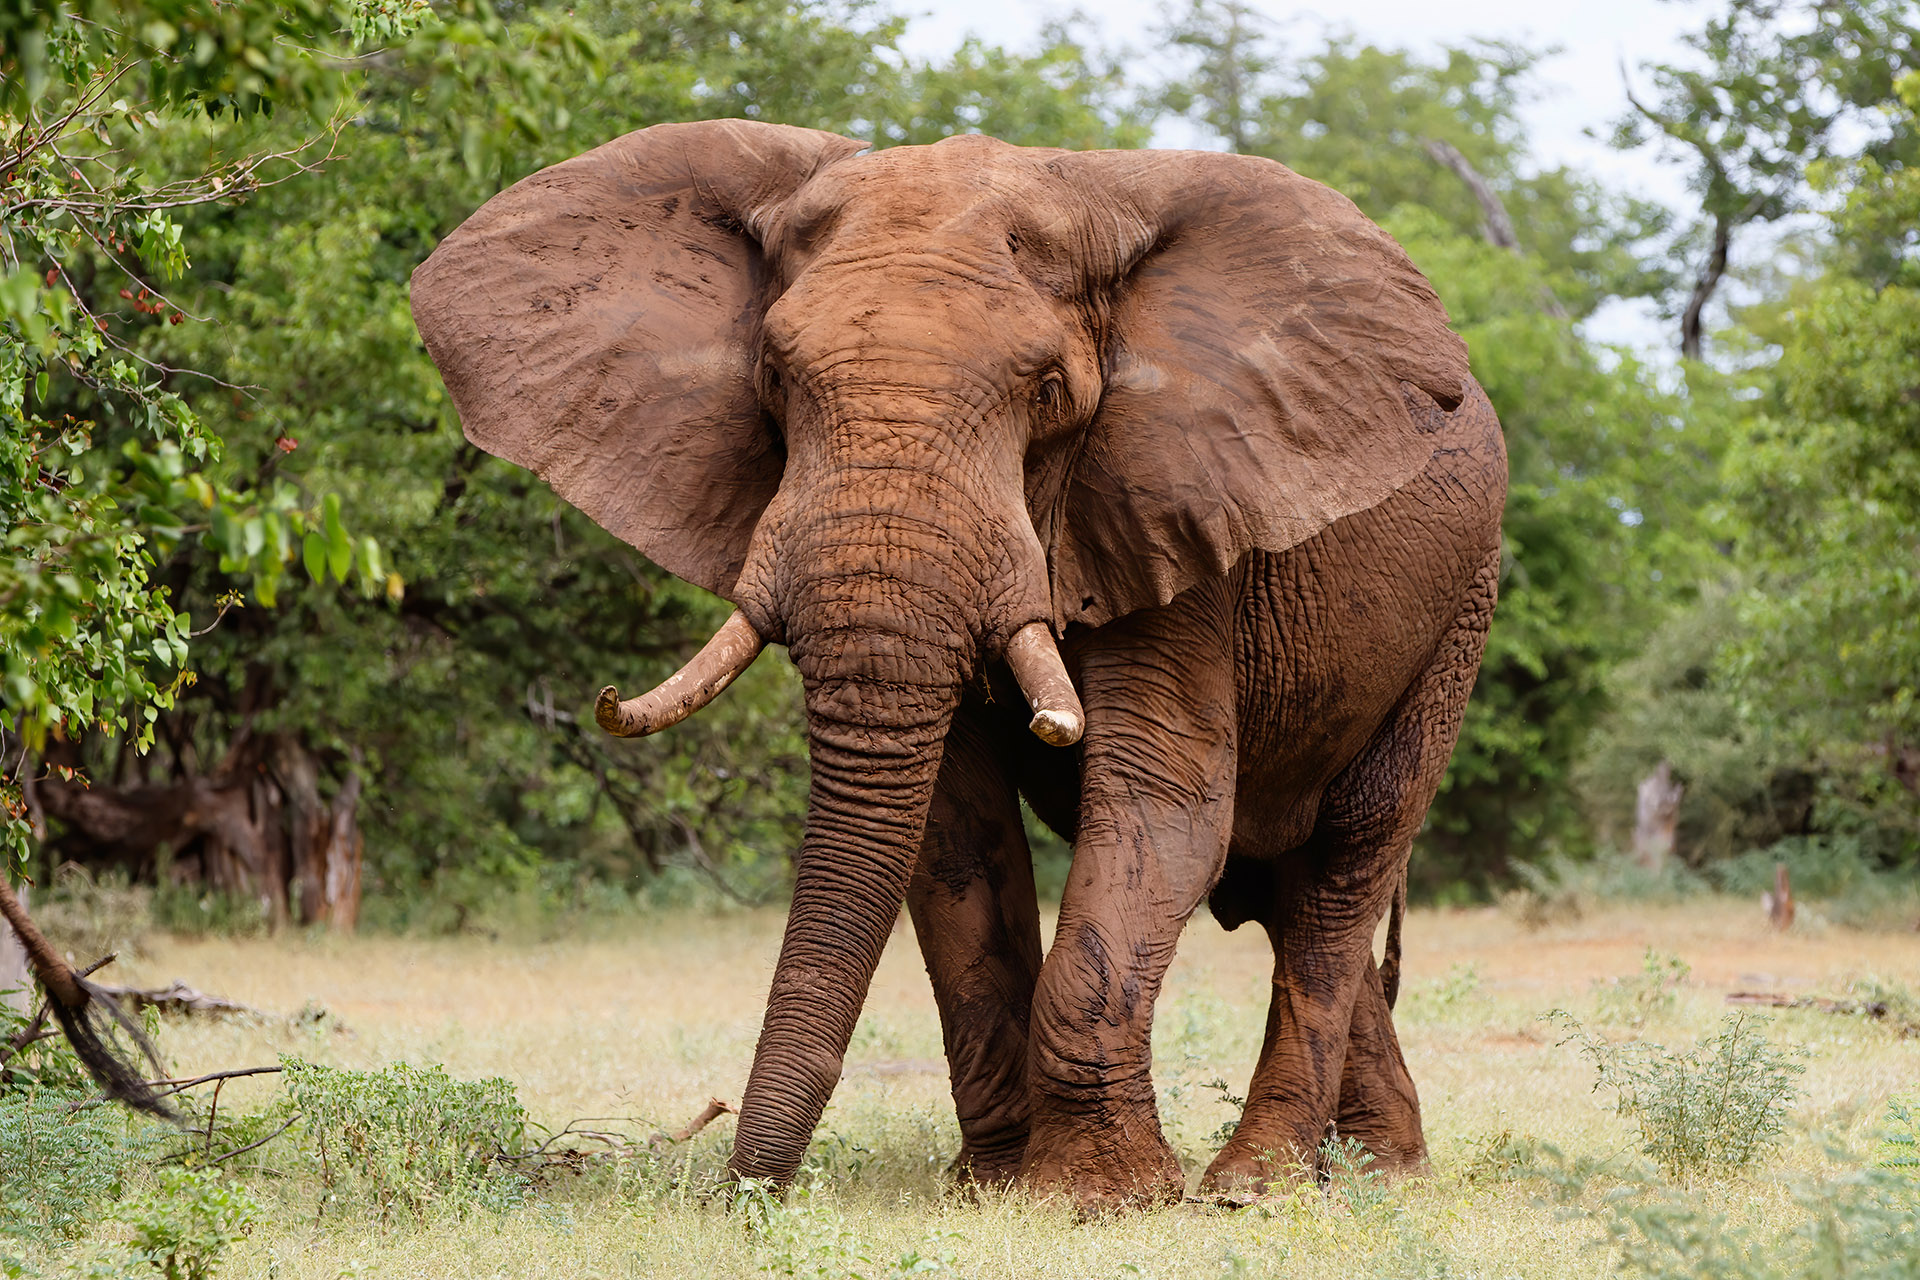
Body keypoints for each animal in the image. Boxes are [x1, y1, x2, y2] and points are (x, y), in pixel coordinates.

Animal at [412, 119, 1505, 1212]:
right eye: (773, 381)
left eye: (1048, 391)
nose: (742, 1190)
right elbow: (956, 834)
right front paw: (997, 1184)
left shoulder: (1178, 513)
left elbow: (1161, 803)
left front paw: (1101, 1198)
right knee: (1287, 885)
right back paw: (1371, 1170)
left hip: (1461, 607)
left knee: (1342, 865)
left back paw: (1260, 1185)